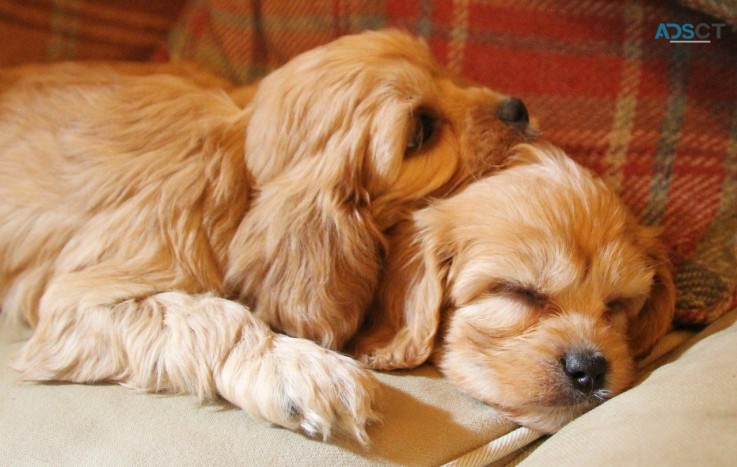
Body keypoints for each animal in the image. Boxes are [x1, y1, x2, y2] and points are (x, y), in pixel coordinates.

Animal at [0, 30, 532, 446]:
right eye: (420, 131)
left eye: (443, 71)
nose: (520, 108)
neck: (233, 168)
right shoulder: (78, 301)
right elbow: (212, 315)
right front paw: (301, 370)